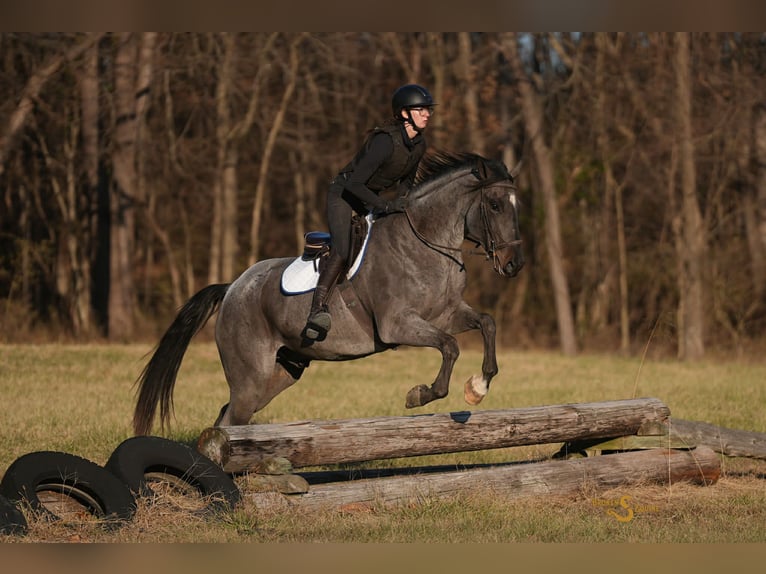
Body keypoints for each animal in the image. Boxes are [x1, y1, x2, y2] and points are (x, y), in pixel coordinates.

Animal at [132, 151, 525, 436]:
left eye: (515, 206)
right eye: (494, 205)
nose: (514, 264)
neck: (426, 242)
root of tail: (231, 288)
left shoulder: (446, 313)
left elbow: (486, 324)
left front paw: (479, 385)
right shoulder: (398, 325)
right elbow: (450, 346)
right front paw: (422, 394)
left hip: (282, 371)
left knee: (228, 416)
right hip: (250, 376)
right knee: (232, 418)